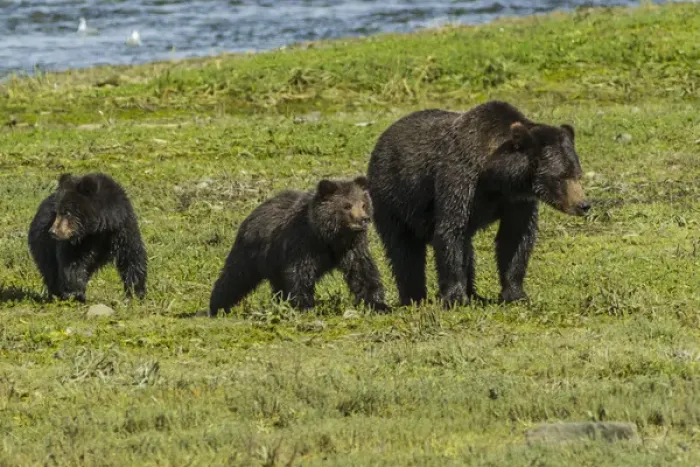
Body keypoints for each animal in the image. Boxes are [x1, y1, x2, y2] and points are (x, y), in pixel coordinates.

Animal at [28, 172, 148, 302]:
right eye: (57, 212)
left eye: (67, 212)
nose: (53, 232)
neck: (100, 229)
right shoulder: (79, 242)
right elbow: (72, 262)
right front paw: (75, 293)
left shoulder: (123, 228)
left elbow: (131, 257)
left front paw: (136, 292)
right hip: (43, 243)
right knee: (50, 268)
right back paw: (56, 293)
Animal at [209, 176, 390, 316]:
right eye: (347, 205)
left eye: (363, 204)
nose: (364, 219)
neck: (329, 236)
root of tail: (253, 212)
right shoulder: (302, 244)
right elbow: (300, 274)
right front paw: (306, 306)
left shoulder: (351, 247)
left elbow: (362, 271)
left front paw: (379, 304)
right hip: (252, 251)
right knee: (235, 276)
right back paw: (217, 306)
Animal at [366, 100, 590, 308]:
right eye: (561, 176)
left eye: (578, 173)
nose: (583, 204)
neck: (495, 177)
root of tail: (381, 139)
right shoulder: (459, 179)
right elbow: (450, 231)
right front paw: (455, 297)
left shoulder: (517, 200)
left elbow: (515, 239)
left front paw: (515, 294)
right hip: (392, 198)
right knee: (404, 250)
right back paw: (414, 297)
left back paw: (473, 293)